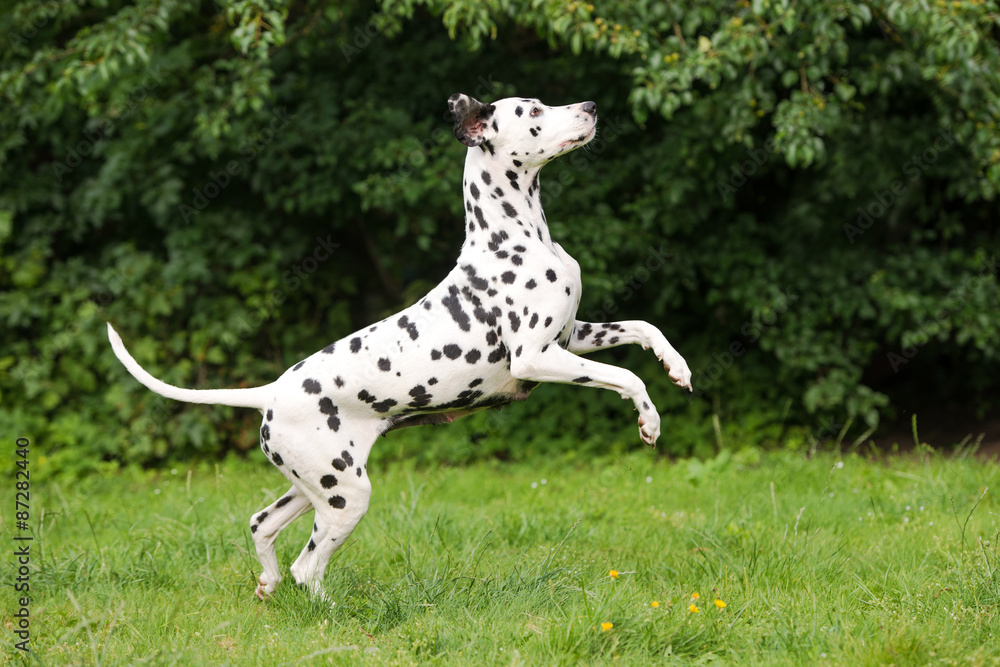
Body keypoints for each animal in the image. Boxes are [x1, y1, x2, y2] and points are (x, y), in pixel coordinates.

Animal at [105, 92, 692, 600]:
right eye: (533, 111)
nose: (590, 105)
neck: (520, 236)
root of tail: (269, 392)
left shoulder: (573, 336)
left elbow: (644, 328)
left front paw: (677, 367)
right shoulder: (537, 356)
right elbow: (627, 378)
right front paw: (650, 420)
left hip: (309, 487)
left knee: (261, 526)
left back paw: (267, 584)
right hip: (344, 497)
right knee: (306, 567)